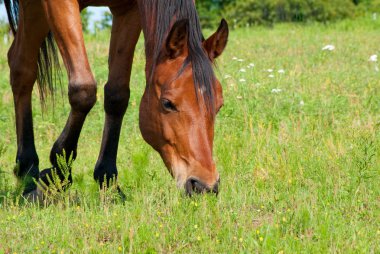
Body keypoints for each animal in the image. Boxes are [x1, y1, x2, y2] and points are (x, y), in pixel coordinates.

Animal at [4, 0, 229, 198]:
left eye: (219, 106)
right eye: (167, 103)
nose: (204, 185)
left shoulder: (127, 10)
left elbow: (117, 95)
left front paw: (107, 178)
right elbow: (83, 89)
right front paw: (58, 173)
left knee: (19, 63)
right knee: (22, 68)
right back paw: (28, 170)